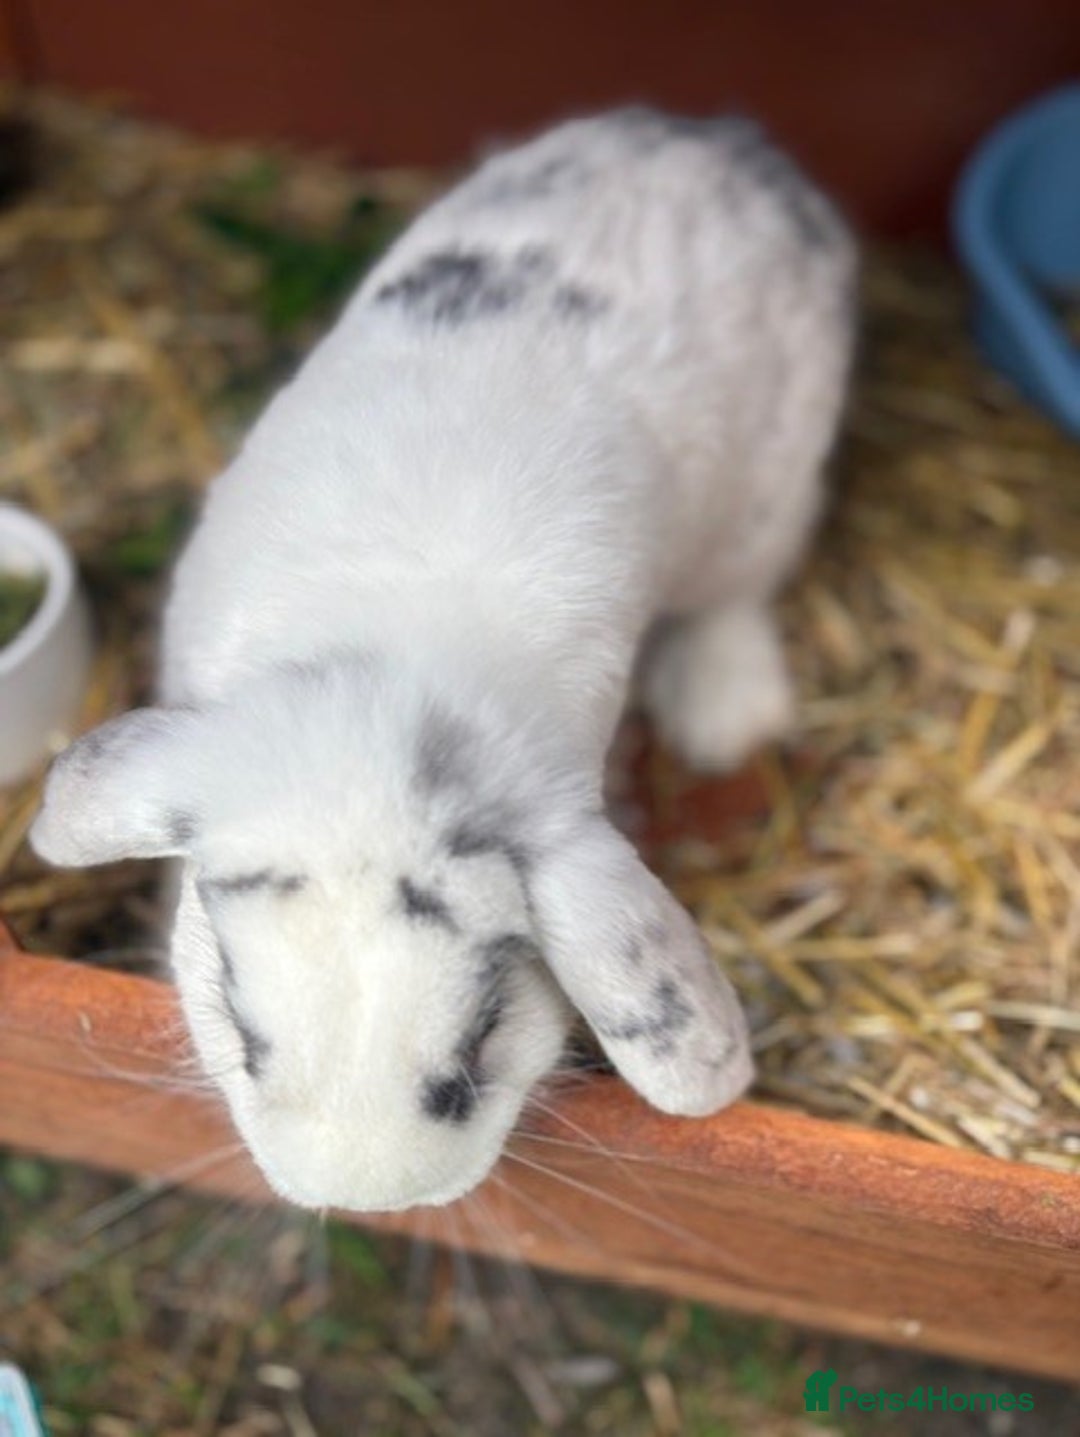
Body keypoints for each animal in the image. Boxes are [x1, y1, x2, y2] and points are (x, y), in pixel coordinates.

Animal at [30, 107, 857, 1214]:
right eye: (244, 1037)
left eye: (479, 1045)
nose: (362, 1198)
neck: (385, 671)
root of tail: (723, 143)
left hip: (766, 501)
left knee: (733, 594)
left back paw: (727, 714)